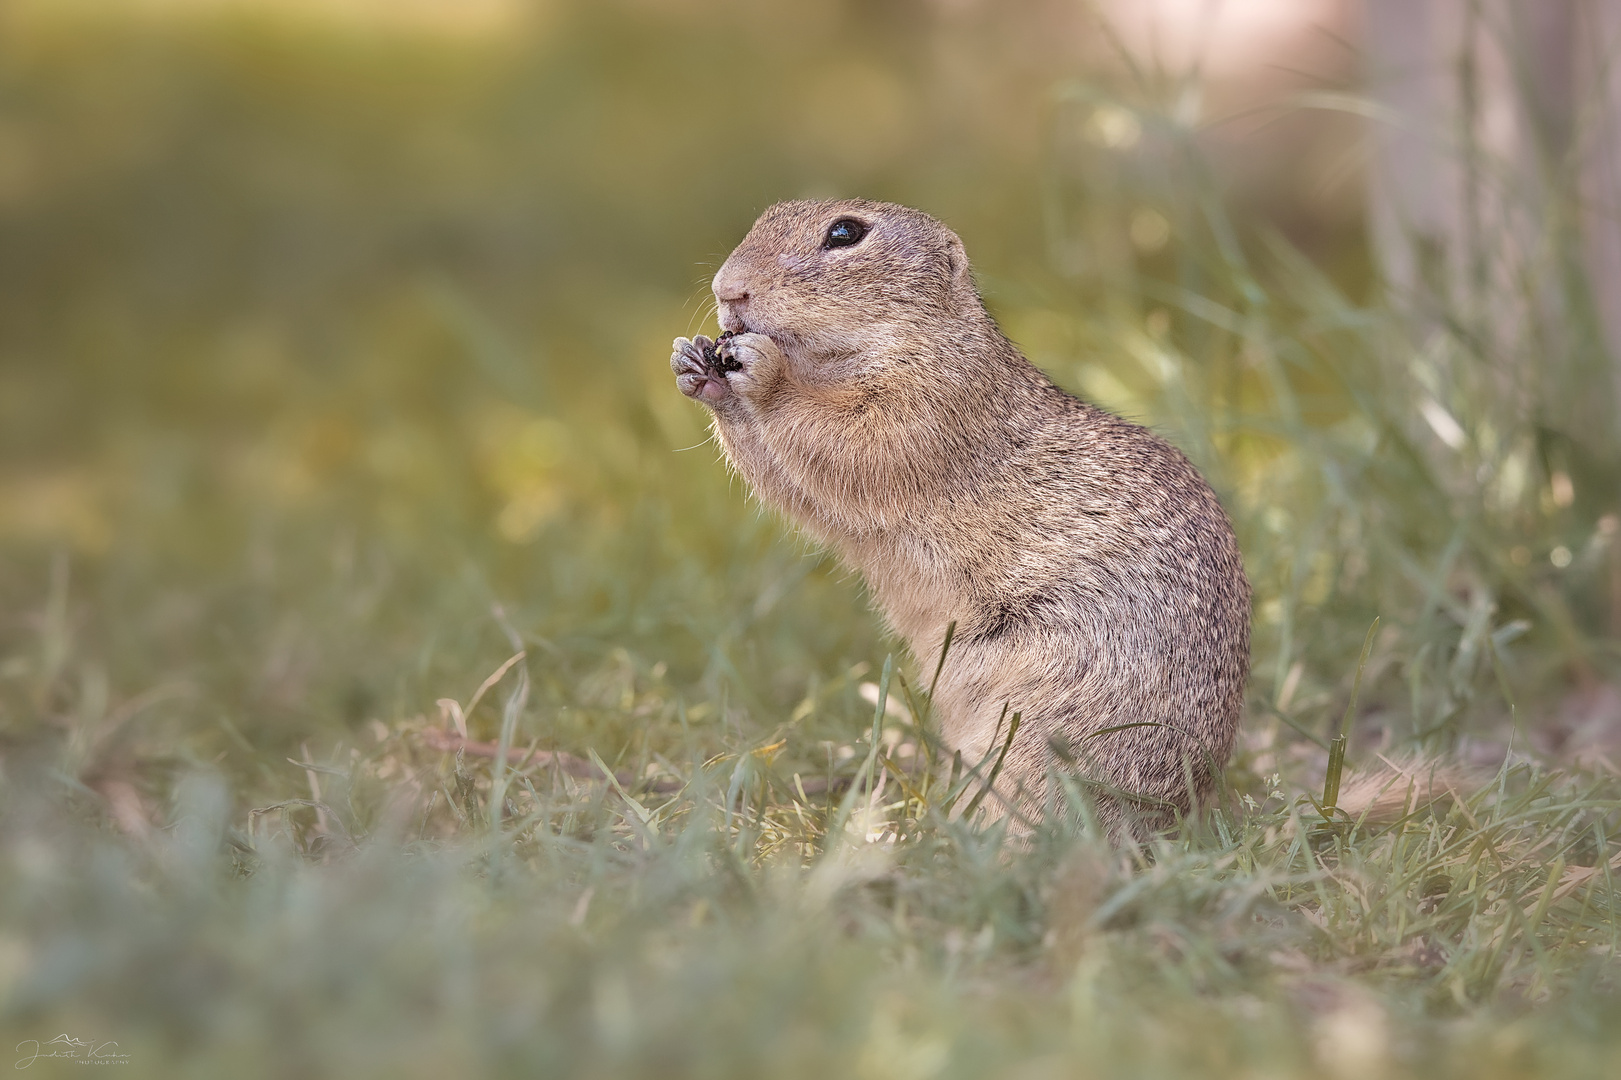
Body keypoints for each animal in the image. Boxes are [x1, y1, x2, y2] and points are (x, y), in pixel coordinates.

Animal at [671, 197, 1251, 827]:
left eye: (845, 233)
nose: (727, 288)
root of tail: (1182, 813)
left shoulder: (928, 406)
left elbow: (847, 441)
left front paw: (764, 371)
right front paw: (695, 366)